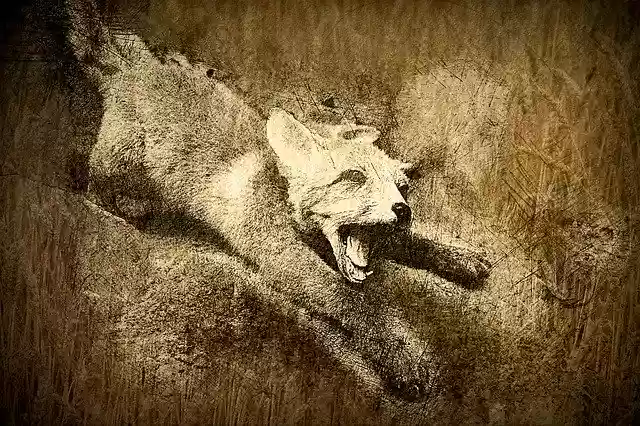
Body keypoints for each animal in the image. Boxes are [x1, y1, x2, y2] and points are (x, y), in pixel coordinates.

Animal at [66, 0, 490, 402]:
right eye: (354, 177)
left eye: (402, 188)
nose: (403, 210)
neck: (285, 196)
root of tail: (133, 68)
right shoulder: (283, 255)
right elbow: (354, 301)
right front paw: (404, 356)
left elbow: (415, 244)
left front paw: (460, 258)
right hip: (120, 158)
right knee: (92, 184)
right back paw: (127, 206)